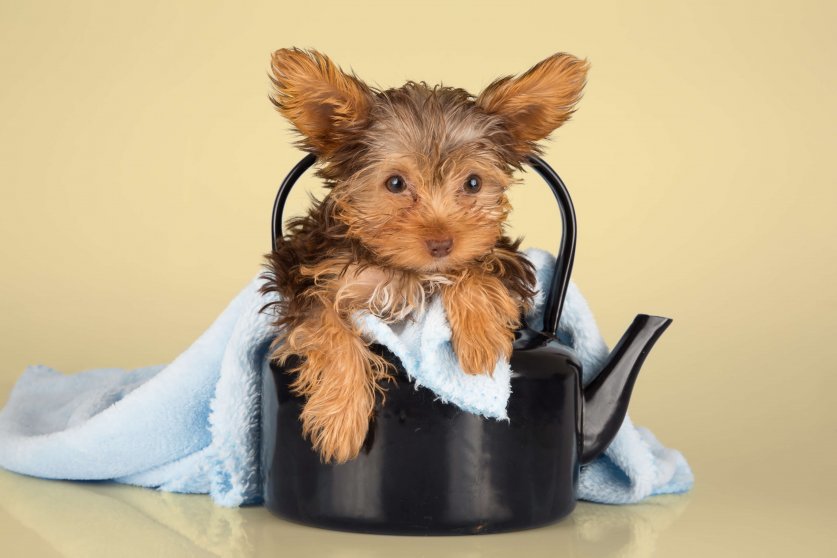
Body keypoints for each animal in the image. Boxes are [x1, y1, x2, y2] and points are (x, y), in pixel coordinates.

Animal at [262, 47, 588, 464]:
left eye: (473, 183)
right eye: (395, 183)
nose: (441, 243)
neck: (405, 271)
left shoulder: (506, 257)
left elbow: (475, 266)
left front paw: (480, 337)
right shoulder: (306, 271)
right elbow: (328, 327)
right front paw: (341, 418)